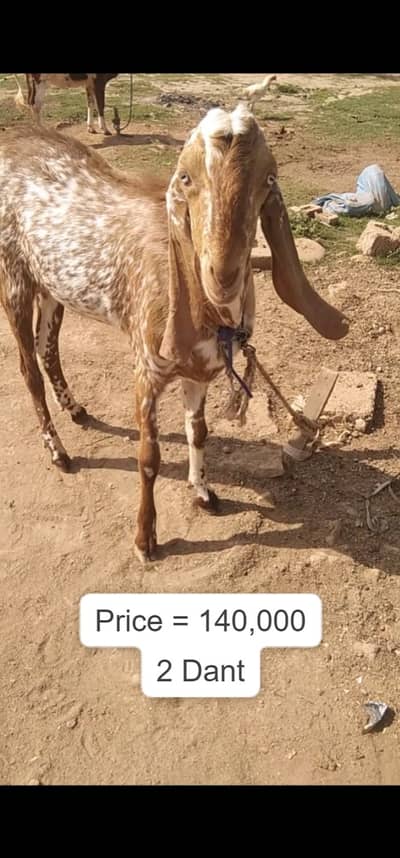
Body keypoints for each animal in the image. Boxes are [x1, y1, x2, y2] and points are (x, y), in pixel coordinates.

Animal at [0, 107, 348, 562]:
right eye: (185, 177)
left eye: (269, 178)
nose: (222, 274)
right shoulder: (146, 371)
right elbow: (148, 457)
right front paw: (145, 539)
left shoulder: (198, 372)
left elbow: (198, 432)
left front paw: (203, 492)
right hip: (14, 278)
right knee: (29, 370)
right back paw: (58, 451)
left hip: (51, 286)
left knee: (48, 349)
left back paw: (75, 408)